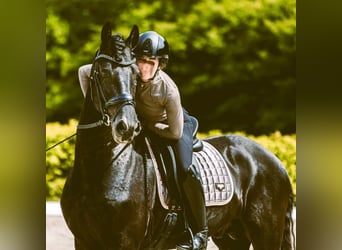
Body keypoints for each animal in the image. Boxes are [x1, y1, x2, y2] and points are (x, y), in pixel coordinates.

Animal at [60, 22, 296, 249]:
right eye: (103, 72)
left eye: (135, 74)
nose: (127, 127)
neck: (99, 166)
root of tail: (275, 161)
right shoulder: (83, 241)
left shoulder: (124, 241)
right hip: (232, 237)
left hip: (266, 234)